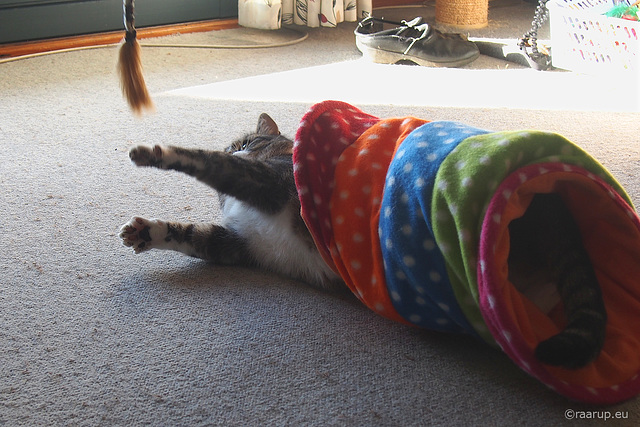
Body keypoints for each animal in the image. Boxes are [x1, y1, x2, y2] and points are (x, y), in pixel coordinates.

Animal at [117, 114, 342, 290]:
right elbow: (192, 235)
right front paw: (144, 232)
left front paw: (153, 152)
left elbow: (210, 160)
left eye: (246, 144)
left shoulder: (268, 181)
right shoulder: (242, 243)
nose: (238, 153)